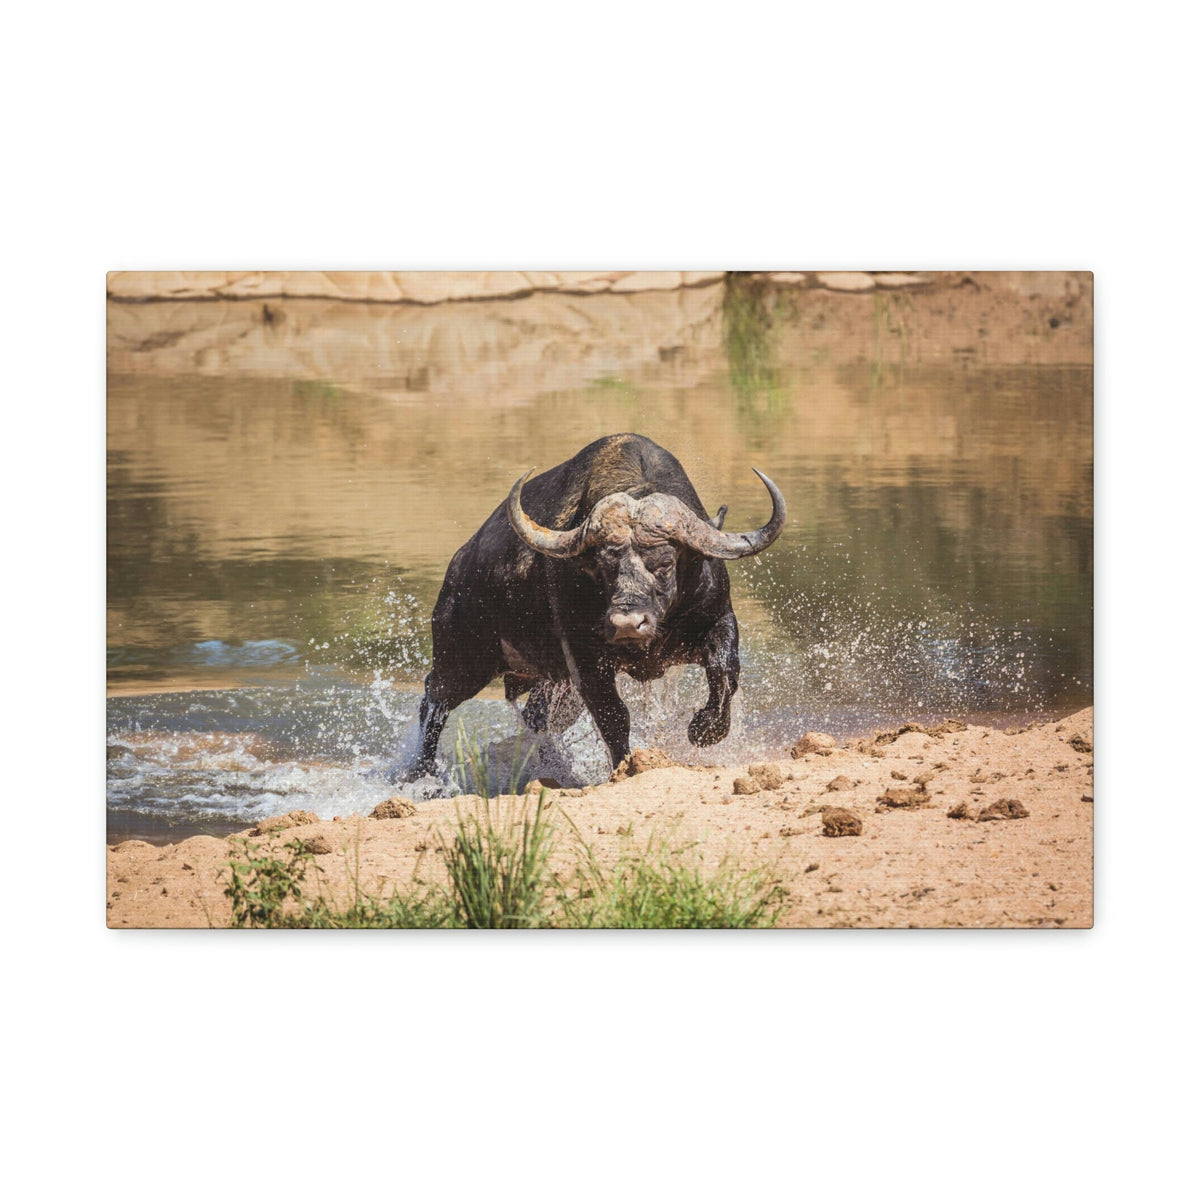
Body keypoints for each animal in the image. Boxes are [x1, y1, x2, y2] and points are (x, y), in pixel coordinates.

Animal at [410, 432, 787, 777]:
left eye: (665, 563)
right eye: (602, 566)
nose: (627, 624)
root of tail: (460, 565)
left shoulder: (717, 619)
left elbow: (724, 673)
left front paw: (705, 730)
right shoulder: (584, 656)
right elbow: (613, 714)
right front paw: (626, 766)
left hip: (549, 681)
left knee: (537, 717)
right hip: (463, 659)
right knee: (434, 701)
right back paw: (422, 773)